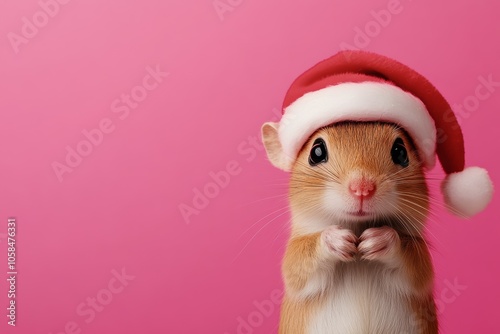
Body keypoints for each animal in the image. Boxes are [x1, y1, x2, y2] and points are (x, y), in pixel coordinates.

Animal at [262, 121, 438, 334]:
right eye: (316, 152)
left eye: (400, 152)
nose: (362, 188)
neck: (357, 225)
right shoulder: (296, 267)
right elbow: (297, 266)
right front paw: (336, 240)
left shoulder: (420, 269)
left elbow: (418, 267)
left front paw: (378, 239)